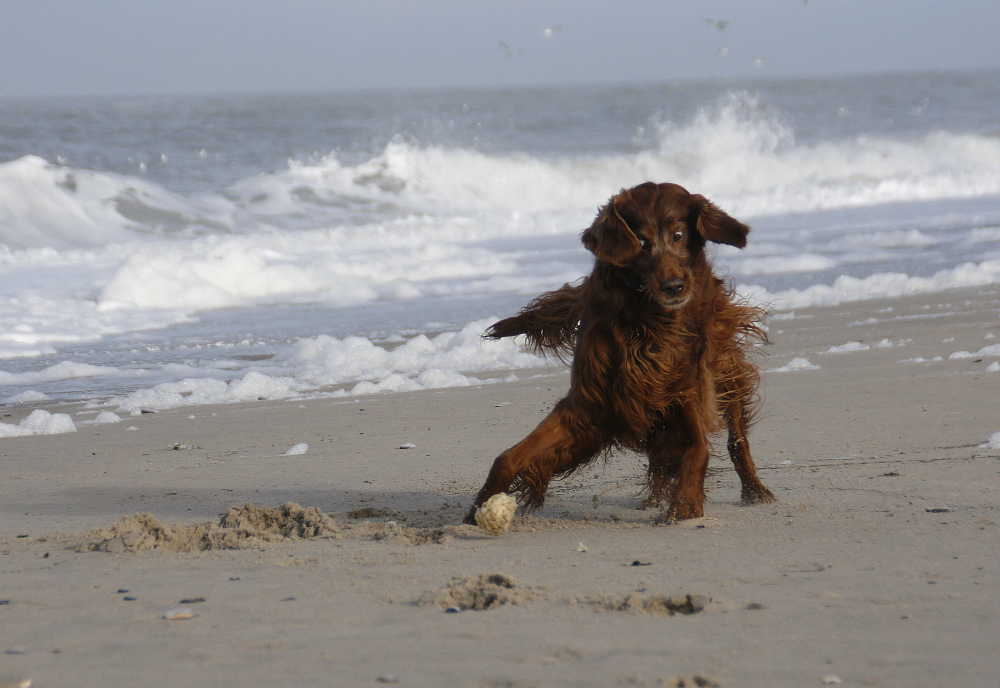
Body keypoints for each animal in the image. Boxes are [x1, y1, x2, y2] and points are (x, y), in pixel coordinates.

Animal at [464, 180, 776, 524]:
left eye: (678, 234)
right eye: (641, 241)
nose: (674, 287)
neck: (645, 319)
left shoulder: (682, 389)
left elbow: (699, 448)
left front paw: (685, 504)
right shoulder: (590, 403)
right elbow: (507, 458)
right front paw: (477, 508)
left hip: (723, 363)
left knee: (736, 435)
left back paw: (755, 490)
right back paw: (654, 498)